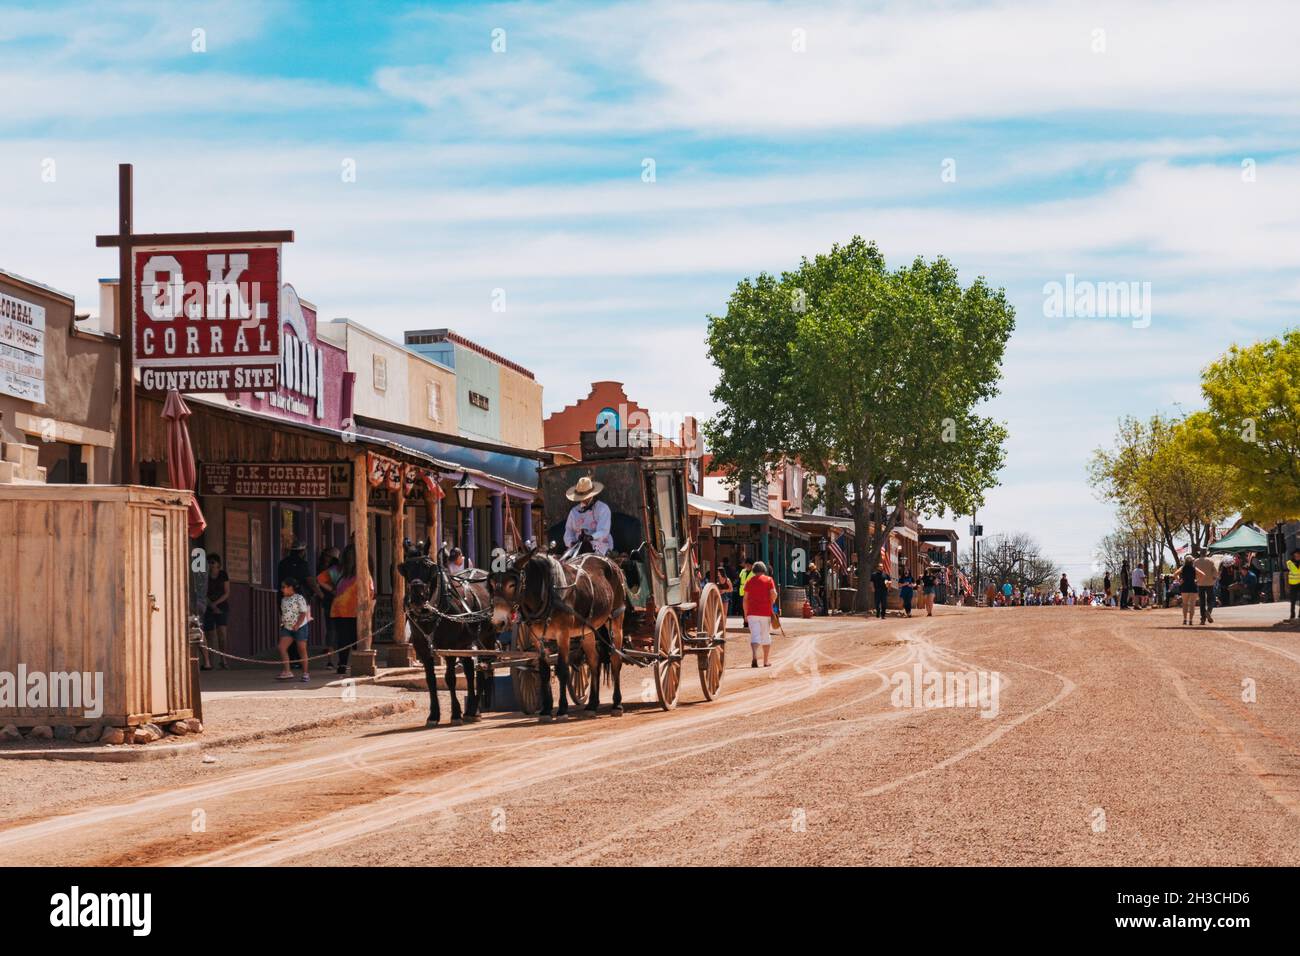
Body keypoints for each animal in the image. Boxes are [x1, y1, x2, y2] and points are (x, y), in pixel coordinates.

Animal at [397, 546, 493, 723]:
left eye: (429, 567)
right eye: (405, 568)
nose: (417, 597)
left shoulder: (449, 648)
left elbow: (450, 678)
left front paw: (455, 713)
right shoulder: (422, 649)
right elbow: (431, 679)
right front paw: (434, 714)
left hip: (487, 638)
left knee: (483, 668)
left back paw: (475, 708)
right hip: (466, 644)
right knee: (470, 671)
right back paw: (471, 710)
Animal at [488, 548, 629, 723]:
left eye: (512, 584)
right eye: (493, 584)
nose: (498, 622)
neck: (548, 593)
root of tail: (611, 561)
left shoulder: (563, 635)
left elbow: (562, 669)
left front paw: (562, 709)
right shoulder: (538, 639)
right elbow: (544, 671)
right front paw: (546, 710)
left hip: (616, 621)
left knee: (616, 659)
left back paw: (617, 704)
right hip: (588, 630)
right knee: (594, 661)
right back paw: (592, 705)